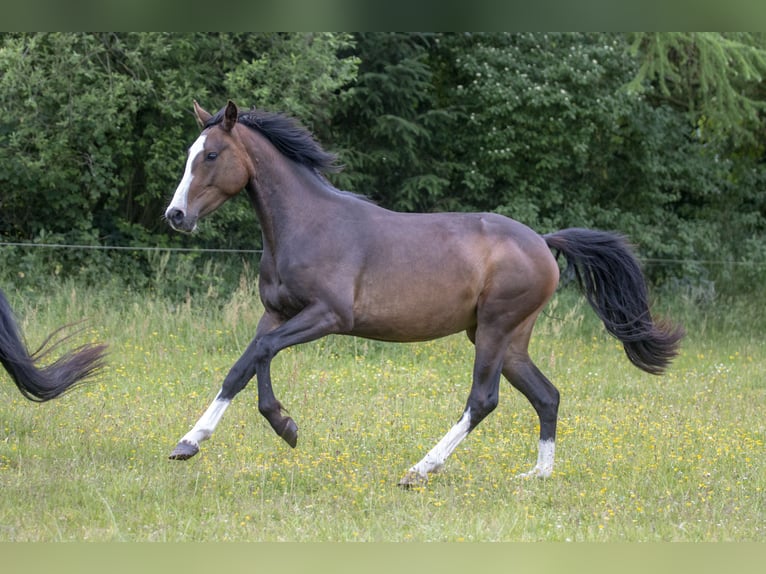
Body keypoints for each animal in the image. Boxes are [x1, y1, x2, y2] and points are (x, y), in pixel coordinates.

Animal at [164, 100, 684, 486]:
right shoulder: (275, 312)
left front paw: (283, 425)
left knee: (483, 400)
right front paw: (190, 442)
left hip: (495, 330)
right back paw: (536, 476)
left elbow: (262, 353)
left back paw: (420, 469)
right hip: (509, 339)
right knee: (547, 395)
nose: (175, 216)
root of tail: (543, 241)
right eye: (190, 153)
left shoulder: (328, 316)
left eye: (210, 155)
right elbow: (243, 366)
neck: (307, 225)